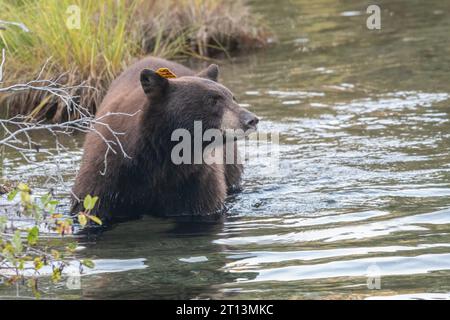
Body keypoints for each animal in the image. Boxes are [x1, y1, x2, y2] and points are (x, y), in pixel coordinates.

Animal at [71, 56, 258, 224]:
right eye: (213, 100)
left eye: (232, 97)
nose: (252, 120)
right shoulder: (106, 172)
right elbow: (91, 207)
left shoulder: (195, 178)